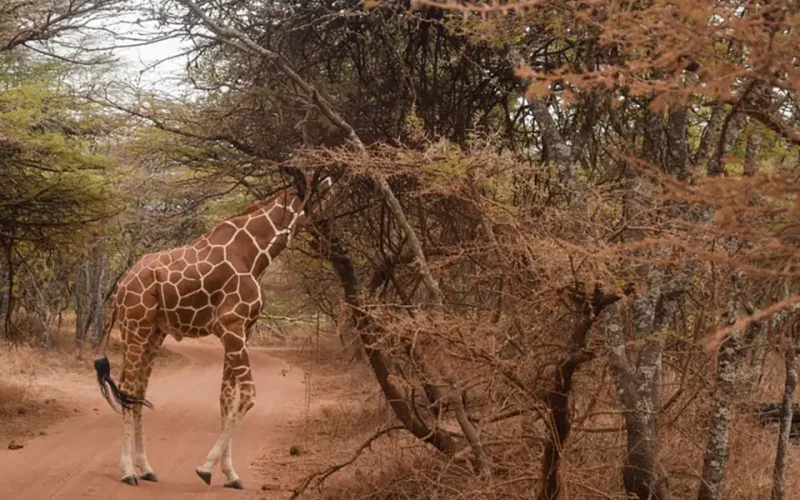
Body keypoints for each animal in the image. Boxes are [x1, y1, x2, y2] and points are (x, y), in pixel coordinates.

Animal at [94, 177, 333, 489]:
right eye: (318, 199)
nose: (326, 241)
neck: (254, 254)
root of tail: (121, 283)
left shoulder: (243, 329)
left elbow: (226, 399)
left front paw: (230, 474)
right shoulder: (232, 326)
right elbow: (248, 394)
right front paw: (205, 468)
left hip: (154, 333)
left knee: (138, 392)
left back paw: (146, 468)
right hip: (135, 326)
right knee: (128, 389)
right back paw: (128, 471)